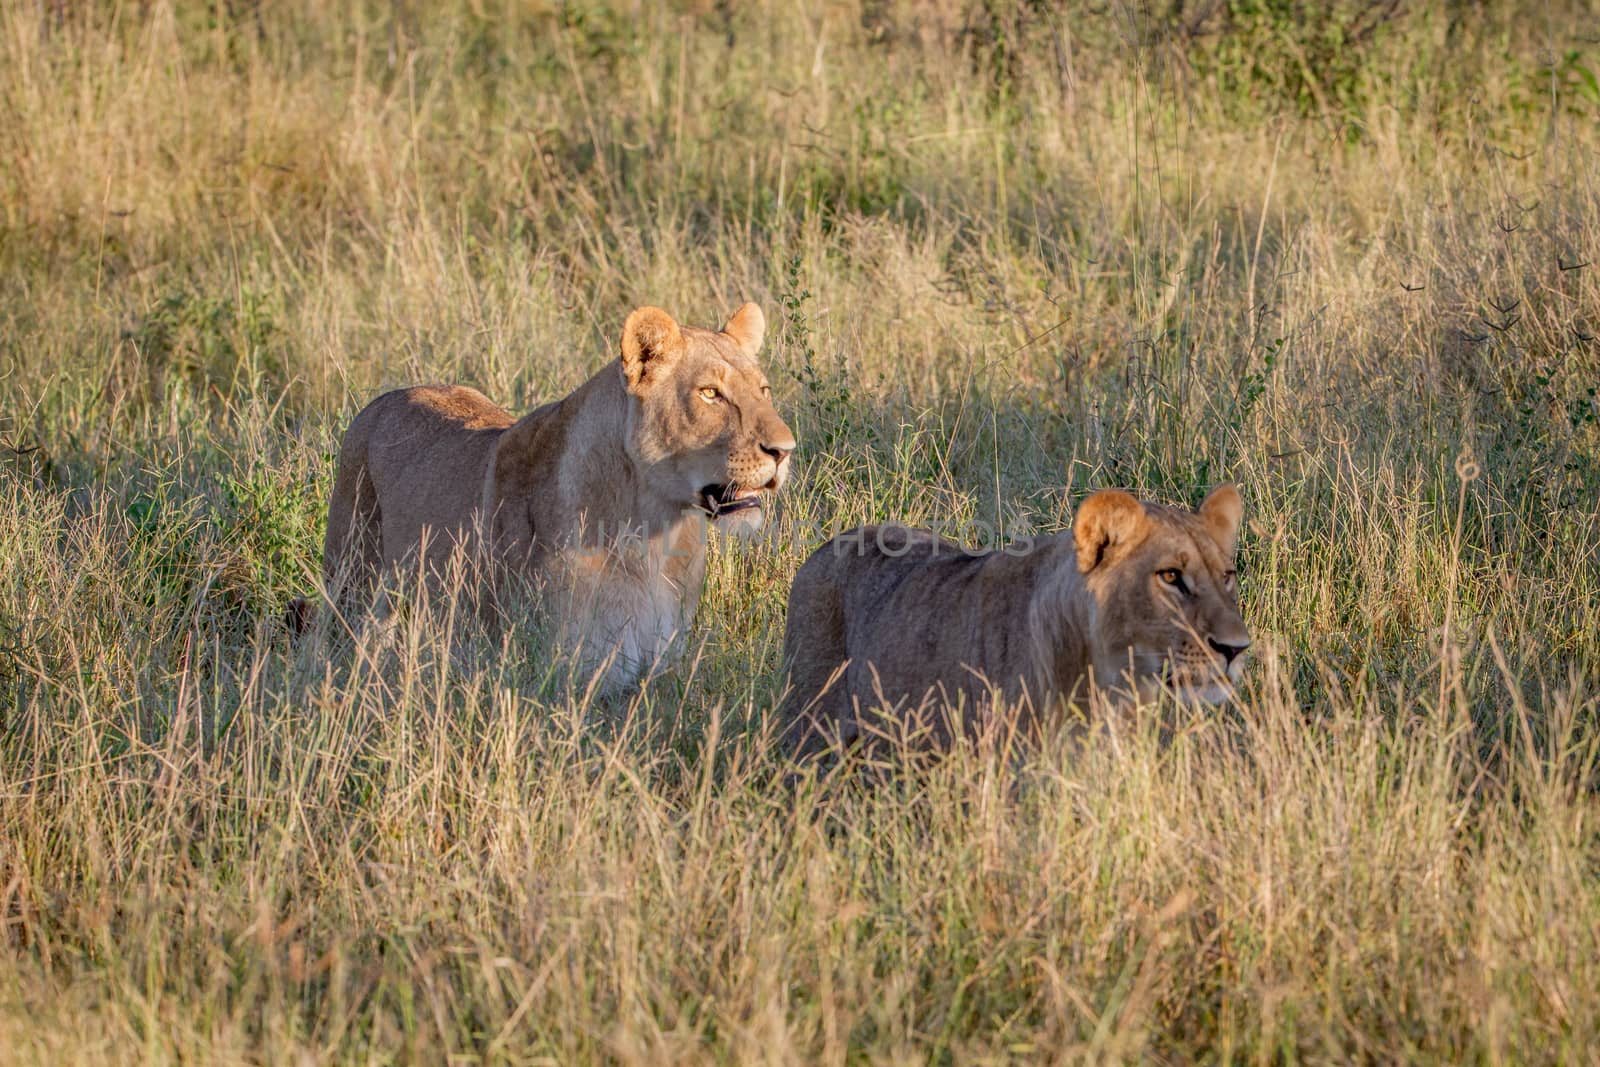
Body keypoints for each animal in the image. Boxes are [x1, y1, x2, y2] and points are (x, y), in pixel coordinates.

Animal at [291, 303, 796, 697]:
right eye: (711, 393)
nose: (785, 450)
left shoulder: (656, 671)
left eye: (763, 390)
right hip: (351, 582)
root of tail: (383, 399)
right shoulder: (557, 675)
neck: (651, 532)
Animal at [774, 483, 1248, 751]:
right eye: (1170, 576)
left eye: (1227, 576)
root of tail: (827, 545)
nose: (1236, 649)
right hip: (811, 734)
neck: (1110, 689)